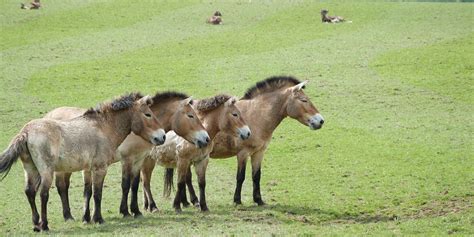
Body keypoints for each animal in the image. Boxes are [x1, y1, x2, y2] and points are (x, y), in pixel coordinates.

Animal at [0, 93, 166, 231]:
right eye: (148, 114)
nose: (162, 136)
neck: (104, 128)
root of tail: (26, 132)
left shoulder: (90, 168)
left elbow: (89, 192)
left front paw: (89, 218)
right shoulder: (101, 168)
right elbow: (98, 193)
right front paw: (99, 219)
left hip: (30, 169)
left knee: (30, 192)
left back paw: (36, 224)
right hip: (47, 171)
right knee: (43, 194)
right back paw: (45, 225)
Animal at [45, 91, 209, 219]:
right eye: (191, 116)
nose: (206, 138)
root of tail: (49, 114)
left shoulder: (139, 159)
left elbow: (135, 185)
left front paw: (136, 210)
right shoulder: (127, 159)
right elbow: (125, 185)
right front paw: (125, 211)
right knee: (62, 187)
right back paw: (68, 216)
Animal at [176, 76, 324, 206]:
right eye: (304, 100)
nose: (321, 120)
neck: (256, 116)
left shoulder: (259, 152)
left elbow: (256, 176)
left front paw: (258, 200)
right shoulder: (243, 153)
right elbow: (240, 177)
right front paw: (237, 200)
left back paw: (186, 201)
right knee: (186, 177)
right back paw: (193, 201)